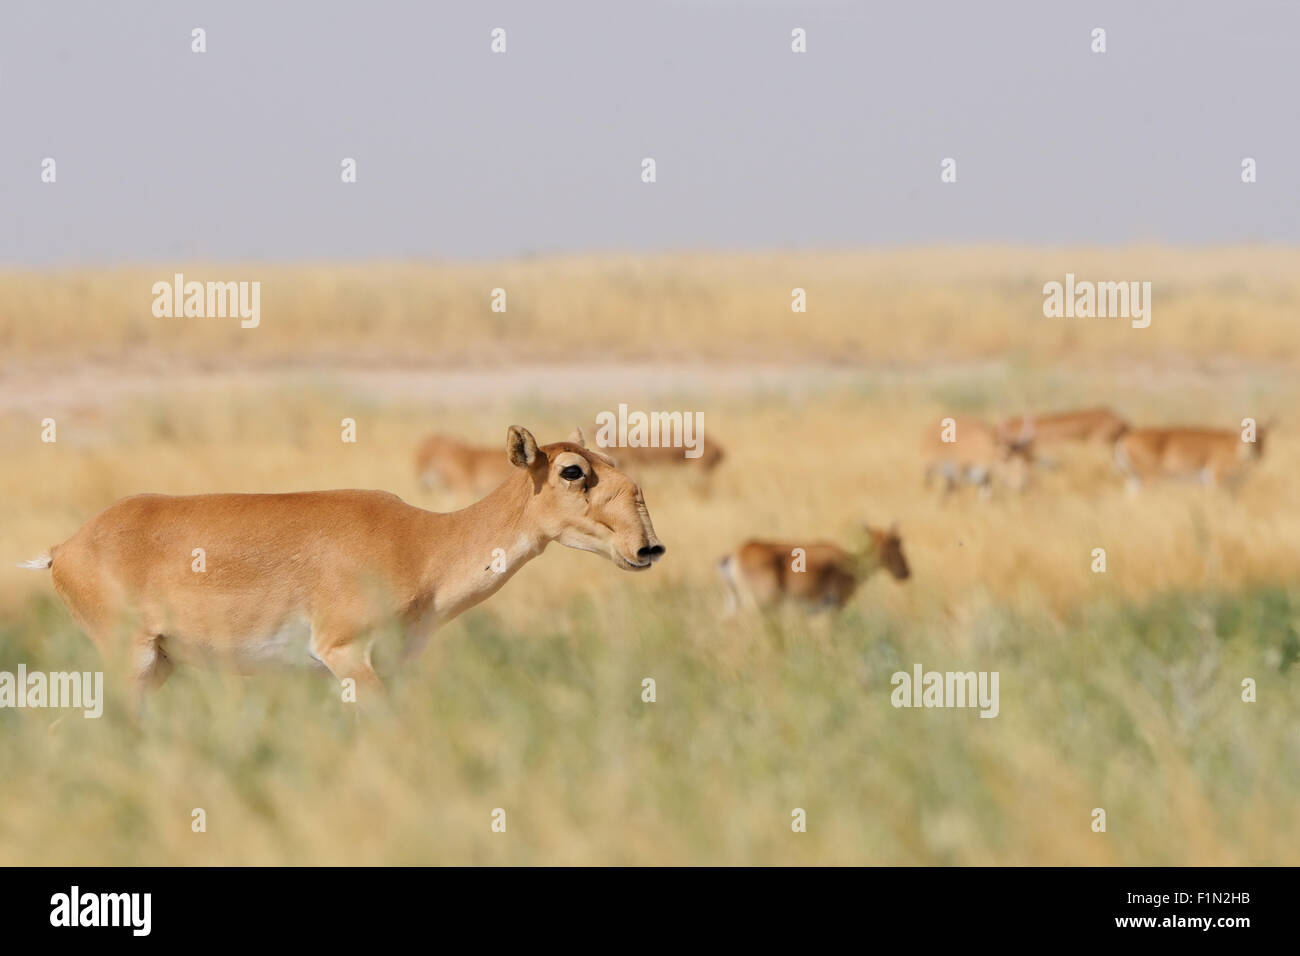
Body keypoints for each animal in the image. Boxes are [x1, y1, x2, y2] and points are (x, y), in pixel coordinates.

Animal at [20, 429, 665, 717]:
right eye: (573, 470)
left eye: (612, 459)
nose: (647, 547)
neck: (422, 543)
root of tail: (64, 547)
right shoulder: (345, 655)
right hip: (128, 661)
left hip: (156, 667)